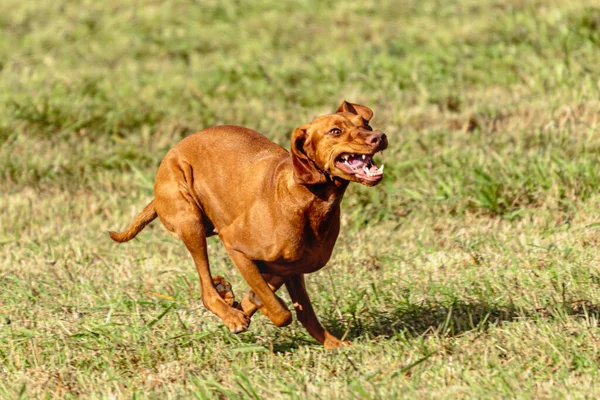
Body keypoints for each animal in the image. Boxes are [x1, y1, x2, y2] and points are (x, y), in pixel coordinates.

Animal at [109, 101, 390, 348]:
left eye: (365, 123)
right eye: (335, 131)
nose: (379, 136)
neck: (307, 197)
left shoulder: (295, 266)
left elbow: (293, 305)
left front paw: (333, 344)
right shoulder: (234, 246)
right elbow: (281, 311)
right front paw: (246, 311)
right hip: (190, 222)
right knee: (206, 290)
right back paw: (230, 312)